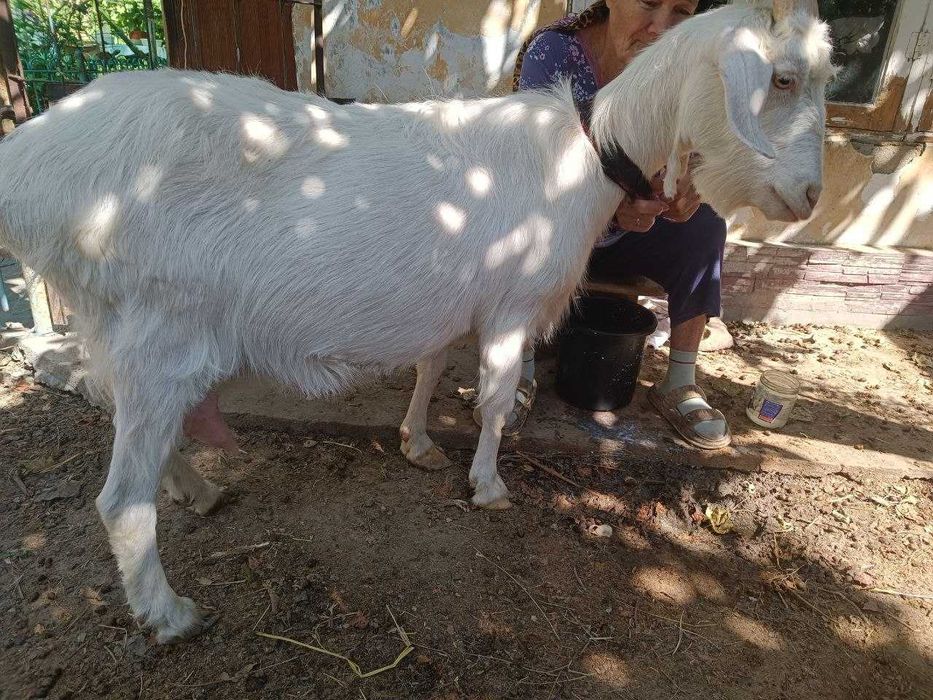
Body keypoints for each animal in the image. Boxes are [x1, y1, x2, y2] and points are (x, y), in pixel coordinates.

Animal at [0, 0, 834, 642]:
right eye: (781, 78)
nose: (808, 196)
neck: (587, 151)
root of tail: (31, 168)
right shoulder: (509, 304)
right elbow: (494, 402)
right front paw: (488, 485)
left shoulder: (455, 299)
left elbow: (433, 366)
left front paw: (419, 442)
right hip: (162, 327)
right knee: (119, 495)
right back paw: (170, 613)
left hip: (122, 325)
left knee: (127, 416)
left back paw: (196, 490)